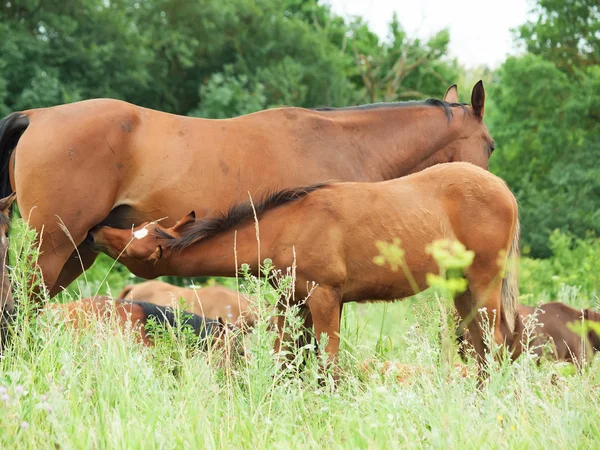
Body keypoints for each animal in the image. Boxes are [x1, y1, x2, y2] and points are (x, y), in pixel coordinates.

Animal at [0, 82, 492, 298]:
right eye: (489, 143)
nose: (491, 184)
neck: (342, 142)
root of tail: (37, 115)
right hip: (52, 247)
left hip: (78, 249)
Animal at [88, 163, 520, 370]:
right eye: (137, 230)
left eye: (135, 244)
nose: (95, 229)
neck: (287, 227)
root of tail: (504, 190)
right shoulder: (290, 302)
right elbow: (287, 358)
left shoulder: (326, 298)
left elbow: (327, 362)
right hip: (463, 291)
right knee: (480, 348)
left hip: (483, 285)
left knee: (497, 345)